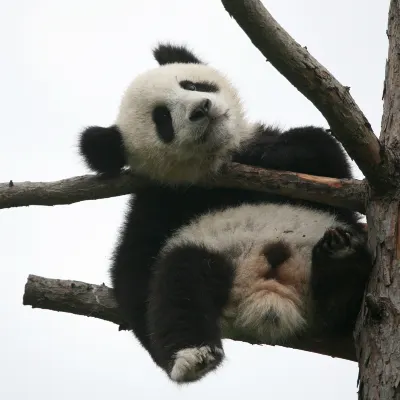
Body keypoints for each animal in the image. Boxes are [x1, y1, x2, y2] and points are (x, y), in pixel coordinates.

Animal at [78, 43, 372, 384]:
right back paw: (192, 356)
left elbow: (325, 156)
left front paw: (272, 152)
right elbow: (134, 268)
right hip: (211, 254)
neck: (217, 166)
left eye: (192, 85)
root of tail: (271, 298)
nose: (202, 108)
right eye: (162, 119)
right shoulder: (159, 198)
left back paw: (341, 259)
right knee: (180, 283)